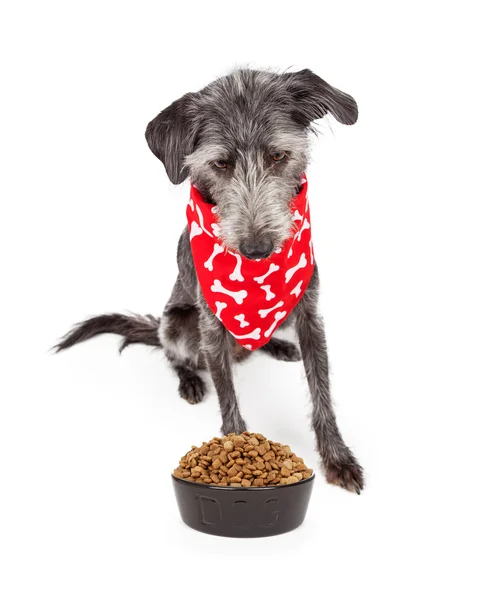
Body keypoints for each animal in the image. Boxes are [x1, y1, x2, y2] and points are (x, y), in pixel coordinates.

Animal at [56, 68, 364, 494]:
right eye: (220, 163)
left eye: (278, 156)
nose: (257, 249)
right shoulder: (211, 324)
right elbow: (227, 394)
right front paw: (236, 455)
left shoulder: (308, 314)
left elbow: (322, 391)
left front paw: (337, 457)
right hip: (177, 323)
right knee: (174, 354)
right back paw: (189, 380)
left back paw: (277, 347)